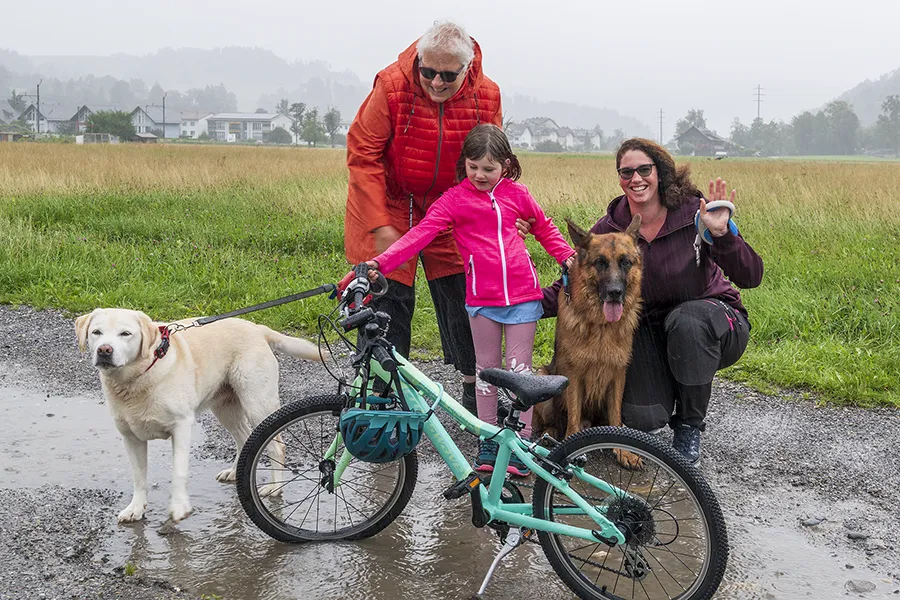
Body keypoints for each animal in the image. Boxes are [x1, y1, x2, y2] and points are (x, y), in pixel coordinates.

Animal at [75, 310, 320, 524]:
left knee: (277, 446)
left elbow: (179, 471)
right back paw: (235, 472)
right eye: (96, 332)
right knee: (244, 437)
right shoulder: (130, 436)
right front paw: (135, 508)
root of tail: (257, 328)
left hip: (257, 403)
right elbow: (138, 477)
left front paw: (179, 507)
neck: (138, 378)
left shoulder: (181, 426)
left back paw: (275, 488)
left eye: (126, 334)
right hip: (225, 408)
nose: (104, 350)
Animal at [532, 217, 644, 464]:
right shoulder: (574, 375)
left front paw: (623, 451)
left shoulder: (618, 374)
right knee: (550, 422)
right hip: (543, 378)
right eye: (600, 263)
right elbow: (573, 415)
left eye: (626, 262)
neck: (601, 326)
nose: (615, 292)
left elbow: (616, 415)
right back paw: (550, 432)